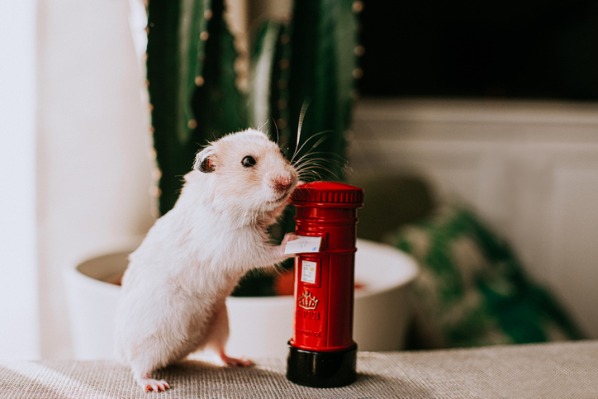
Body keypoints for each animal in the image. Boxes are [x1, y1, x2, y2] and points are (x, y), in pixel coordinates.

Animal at [114, 130, 300, 392]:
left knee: (218, 352)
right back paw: (156, 385)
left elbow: (277, 210)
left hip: (220, 321)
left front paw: (299, 187)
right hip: (152, 336)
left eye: (281, 151)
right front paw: (293, 238)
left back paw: (242, 360)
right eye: (247, 161)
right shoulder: (240, 246)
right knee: (138, 366)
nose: (286, 180)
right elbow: (270, 253)